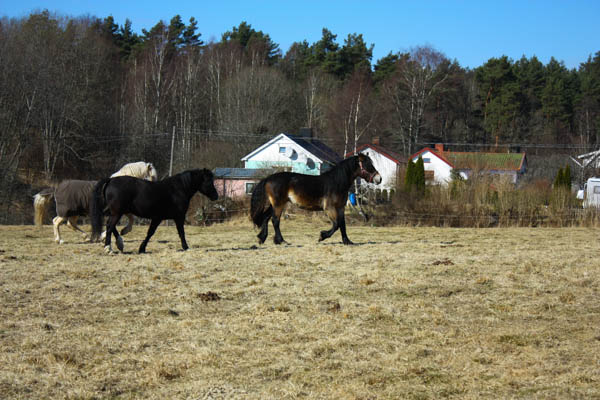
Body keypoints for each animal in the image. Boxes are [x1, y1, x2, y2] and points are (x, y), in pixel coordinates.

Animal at [250, 153, 381, 245]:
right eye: (367, 165)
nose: (379, 179)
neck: (336, 182)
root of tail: (268, 178)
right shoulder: (329, 208)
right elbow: (336, 224)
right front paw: (322, 236)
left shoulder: (340, 208)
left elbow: (342, 224)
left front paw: (347, 241)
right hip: (278, 204)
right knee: (275, 221)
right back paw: (281, 240)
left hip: (274, 204)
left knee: (266, 218)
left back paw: (262, 238)